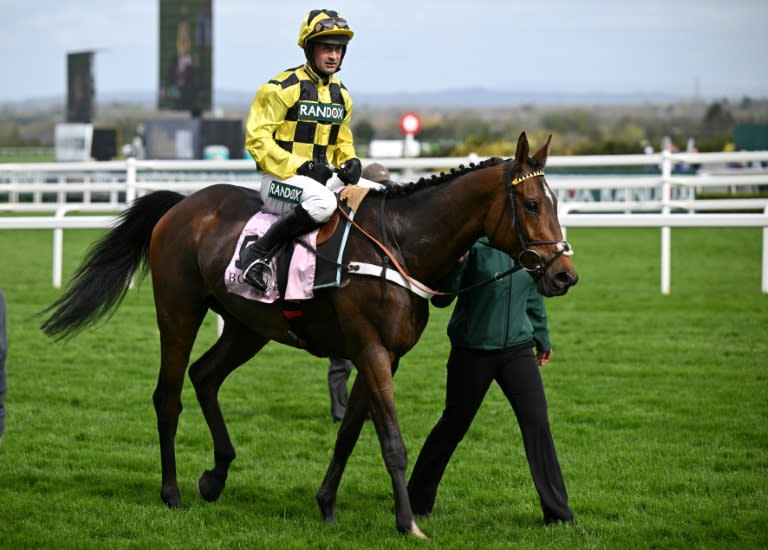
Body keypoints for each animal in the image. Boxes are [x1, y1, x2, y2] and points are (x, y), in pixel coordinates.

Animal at [40, 133, 576, 540]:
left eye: (556, 202)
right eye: (531, 204)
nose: (564, 275)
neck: (398, 244)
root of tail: (183, 204)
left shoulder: (382, 355)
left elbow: (349, 432)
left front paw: (326, 504)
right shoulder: (372, 350)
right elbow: (392, 442)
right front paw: (407, 524)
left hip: (246, 327)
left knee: (205, 376)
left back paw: (215, 476)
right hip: (178, 313)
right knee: (168, 396)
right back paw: (171, 493)